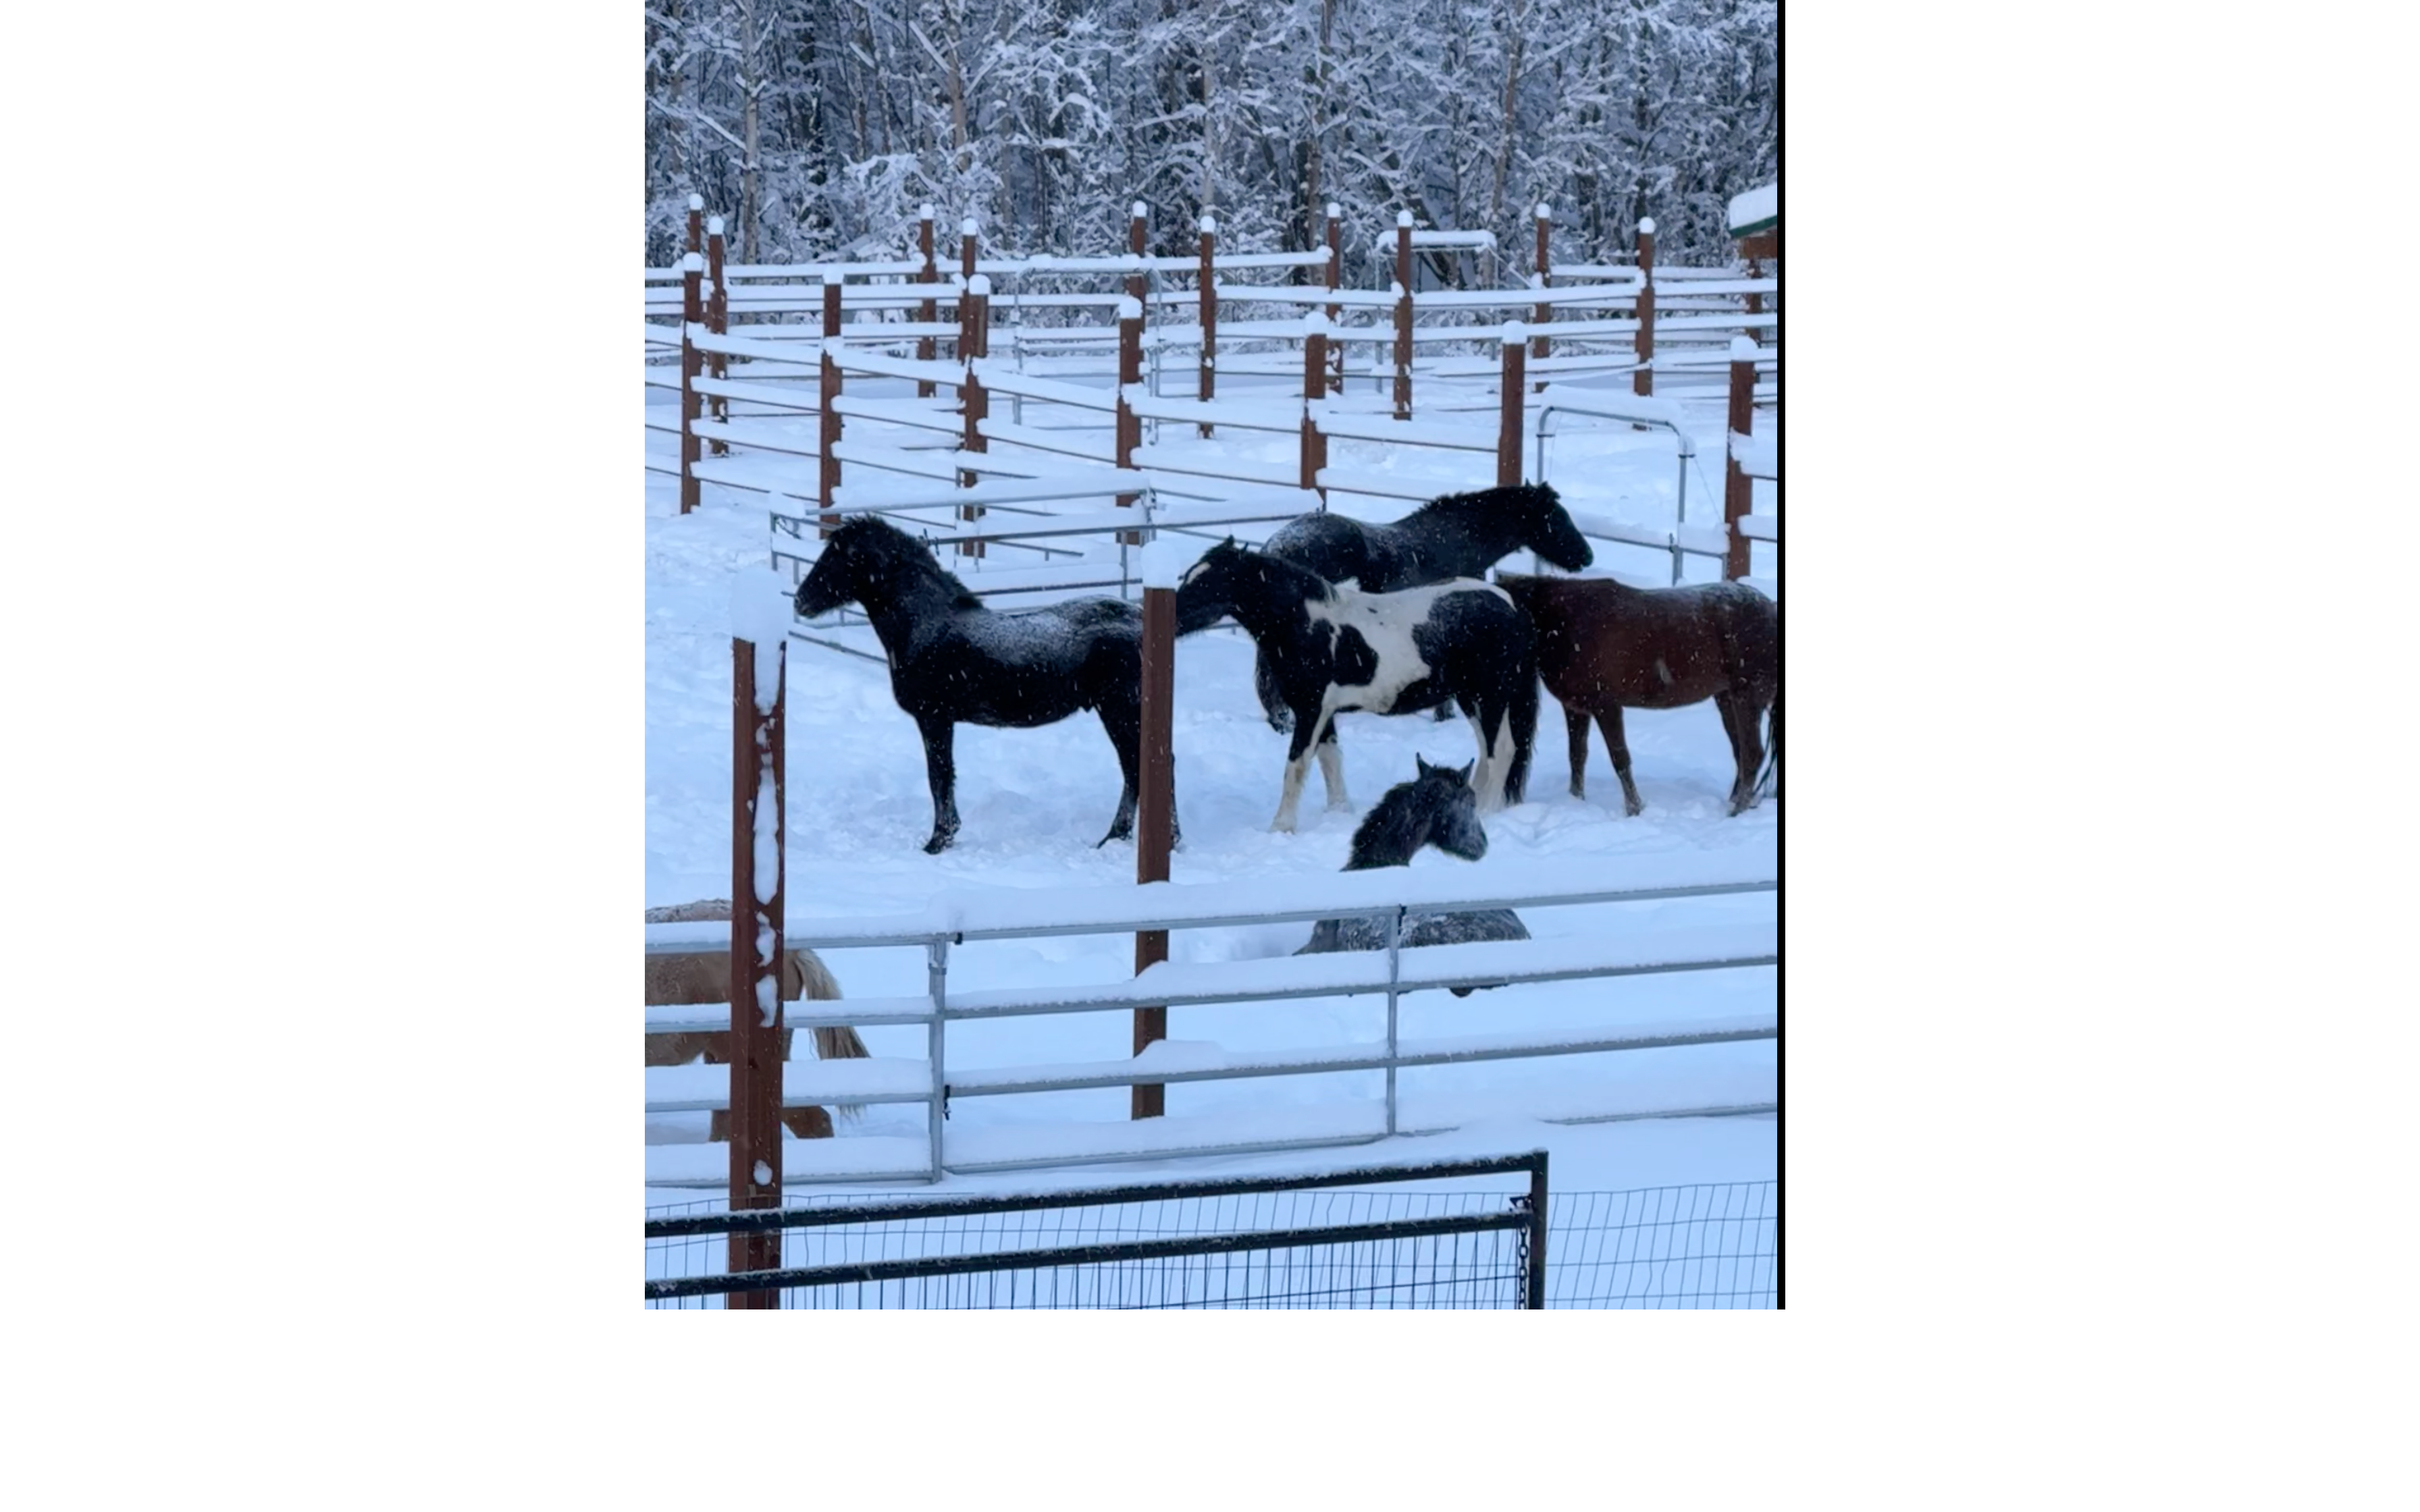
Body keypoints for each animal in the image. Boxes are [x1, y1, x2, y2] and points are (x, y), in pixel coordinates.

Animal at [793, 514, 1173, 854]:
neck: (927, 629)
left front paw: (938, 842)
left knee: (1139, 767)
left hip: (1120, 710)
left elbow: (939, 777)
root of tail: (1142, 620)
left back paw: (1123, 838)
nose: (800, 601)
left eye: (843, 557)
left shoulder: (934, 718)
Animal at [1173, 537, 1539, 833]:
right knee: (1486, 749)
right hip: (1470, 698)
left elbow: (1296, 767)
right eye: (1189, 576)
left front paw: (1281, 827)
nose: (1171, 617)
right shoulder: (1324, 713)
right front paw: (1339, 812)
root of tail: (1509, 604)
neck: (1307, 626)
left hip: (1490, 696)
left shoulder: (1310, 711)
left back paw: (1487, 813)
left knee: (1501, 750)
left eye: (1208, 581)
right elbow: (1330, 761)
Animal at [1493, 572, 1777, 818]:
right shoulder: (1576, 708)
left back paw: (1737, 811)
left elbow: (1620, 758)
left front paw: (1634, 809)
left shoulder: (1607, 706)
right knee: (1741, 752)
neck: (1567, 620)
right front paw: (1575, 801)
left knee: (1752, 753)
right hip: (1727, 699)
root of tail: (1771, 610)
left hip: (1747, 697)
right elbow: (1577, 756)